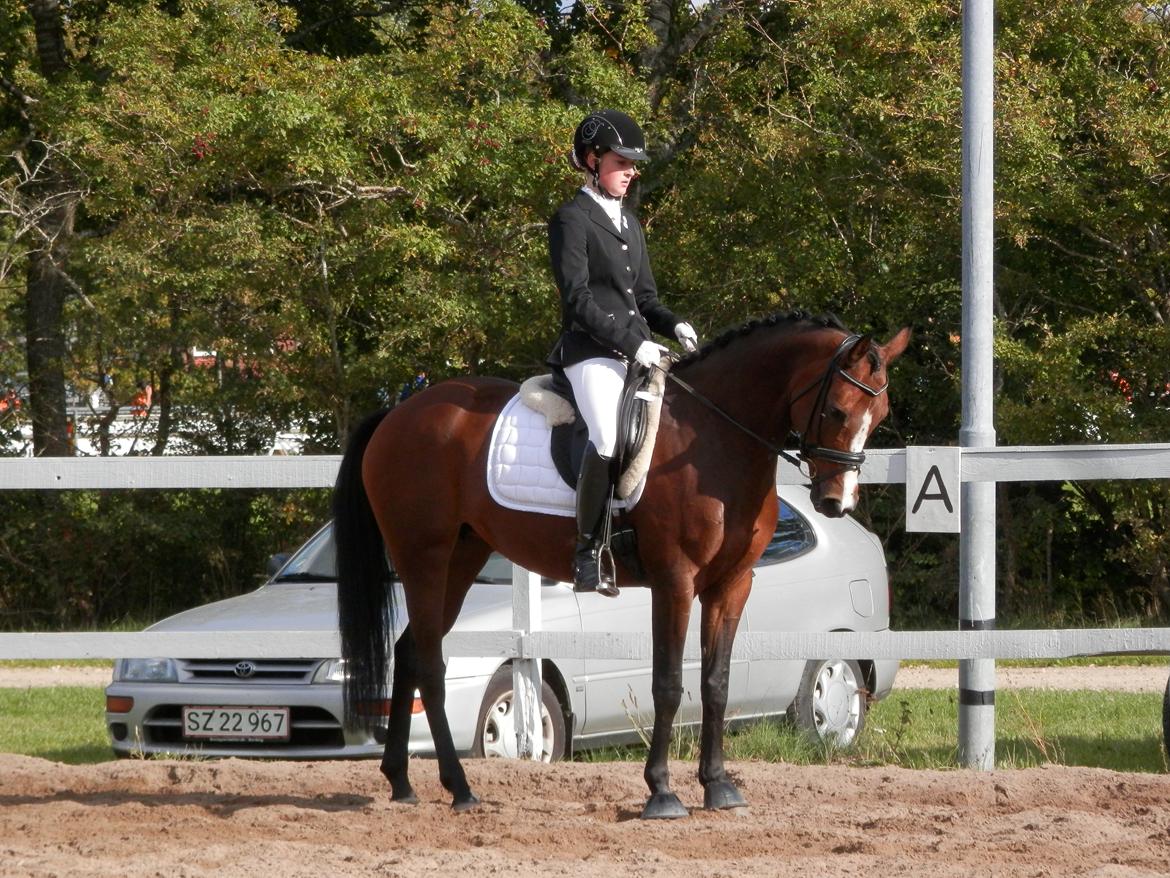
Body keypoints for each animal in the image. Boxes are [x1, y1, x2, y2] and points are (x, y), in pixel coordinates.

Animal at [333, 311, 911, 819]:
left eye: (879, 416)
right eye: (837, 412)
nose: (837, 502)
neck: (715, 437)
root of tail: (402, 411)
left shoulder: (731, 584)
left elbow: (716, 683)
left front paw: (719, 787)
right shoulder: (674, 581)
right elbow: (669, 683)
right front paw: (661, 794)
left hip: (462, 554)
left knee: (410, 650)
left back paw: (402, 782)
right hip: (423, 554)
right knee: (429, 661)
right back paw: (459, 788)